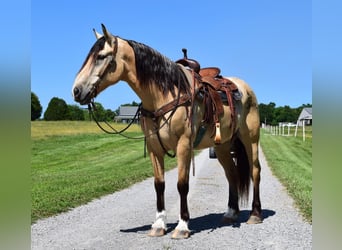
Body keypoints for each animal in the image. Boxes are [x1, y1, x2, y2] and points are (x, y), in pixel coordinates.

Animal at [72, 24, 264, 239]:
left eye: (101, 56)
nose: (76, 91)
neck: (164, 95)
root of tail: (245, 89)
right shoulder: (154, 148)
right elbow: (159, 185)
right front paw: (158, 225)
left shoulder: (184, 145)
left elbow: (182, 185)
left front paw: (182, 226)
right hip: (222, 146)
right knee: (231, 174)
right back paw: (231, 213)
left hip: (250, 139)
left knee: (255, 171)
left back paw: (255, 214)